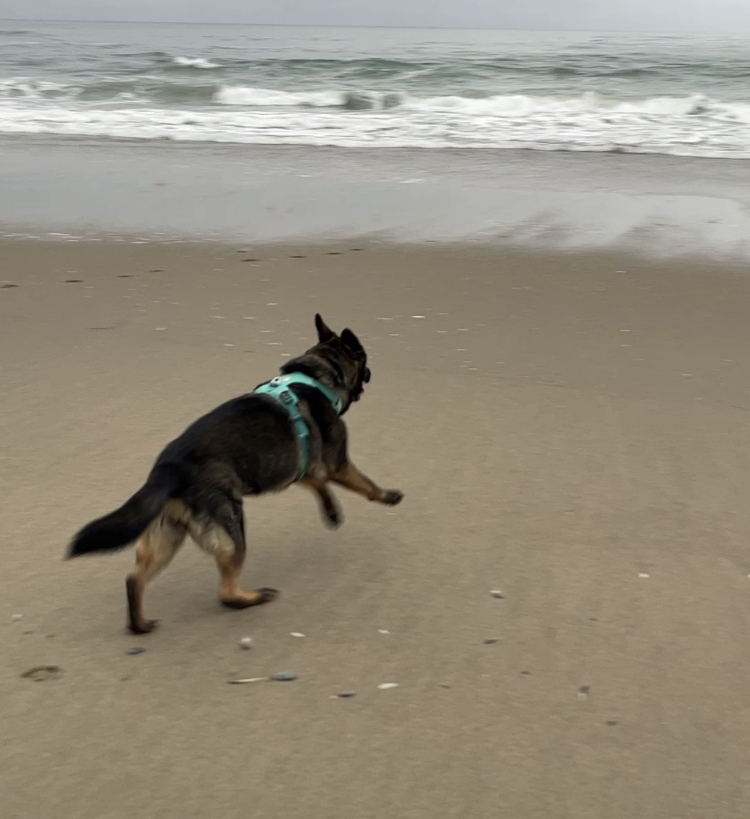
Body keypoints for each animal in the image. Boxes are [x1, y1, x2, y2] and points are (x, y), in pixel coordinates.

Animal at [67, 316, 402, 636]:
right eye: (364, 359)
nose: (371, 373)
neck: (317, 376)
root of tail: (168, 470)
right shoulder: (337, 464)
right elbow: (365, 484)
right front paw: (387, 496)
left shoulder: (300, 468)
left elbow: (319, 485)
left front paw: (332, 512)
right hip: (232, 531)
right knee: (226, 594)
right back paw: (254, 597)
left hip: (167, 536)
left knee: (134, 578)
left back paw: (139, 624)